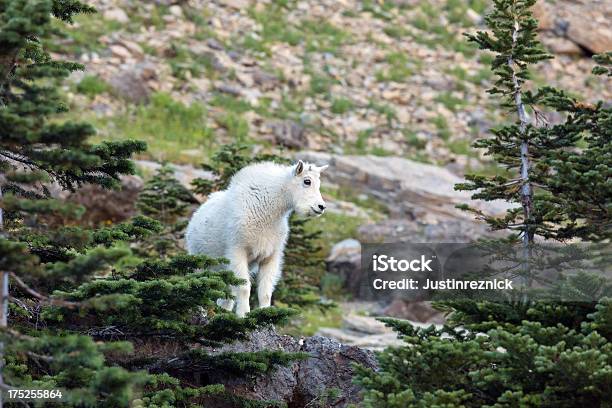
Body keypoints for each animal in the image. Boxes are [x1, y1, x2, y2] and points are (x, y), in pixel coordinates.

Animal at [185, 161, 328, 318]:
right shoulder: (238, 250)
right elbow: (244, 288)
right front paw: (244, 315)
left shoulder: (271, 256)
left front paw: (266, 317)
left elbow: (265, 292)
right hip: (199, 259)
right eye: (307, 181)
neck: (270, 210)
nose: (321, 207)